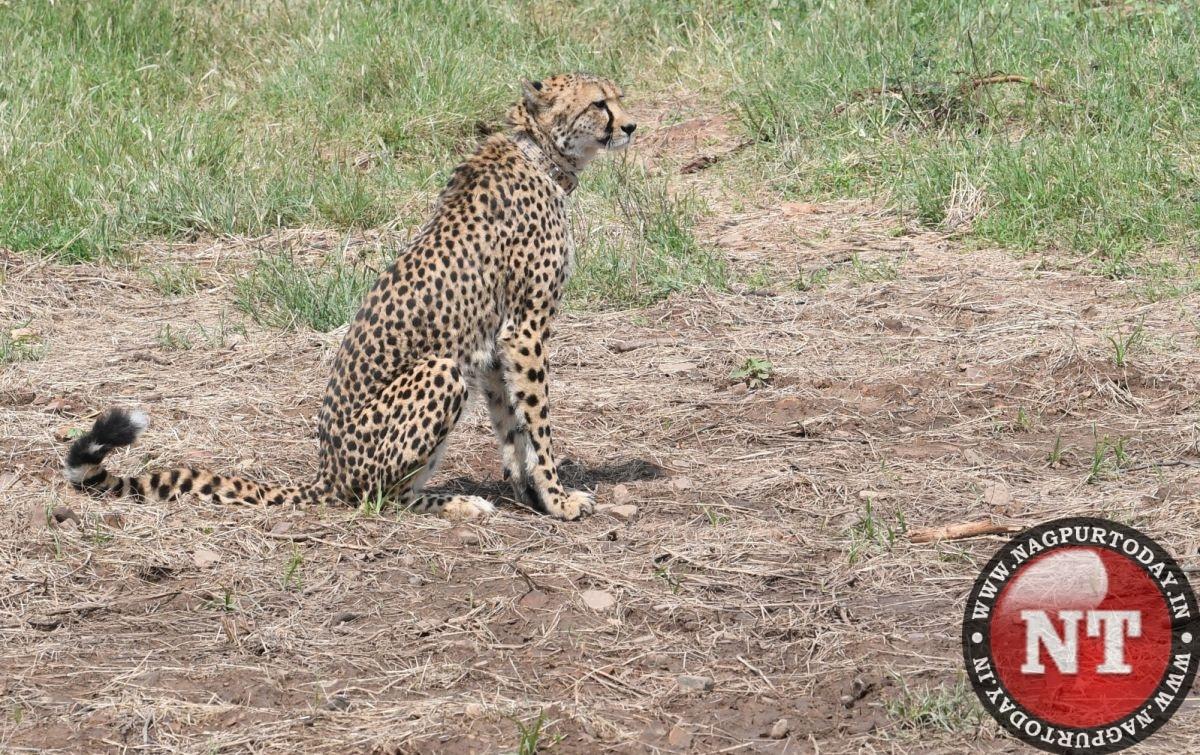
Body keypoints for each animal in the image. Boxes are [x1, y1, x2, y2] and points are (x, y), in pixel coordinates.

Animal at [64, 72, 637, 522]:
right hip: (440, 371)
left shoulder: (496, 343)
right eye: (598, 103)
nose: (631, 126)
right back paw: (454, 503)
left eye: (618, 97)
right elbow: (537, 423)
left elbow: (511, 425)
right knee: (377, 497)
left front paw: (529, 492)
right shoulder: (525, 329)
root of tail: (327, 471)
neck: (540, 152)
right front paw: (559, 499)